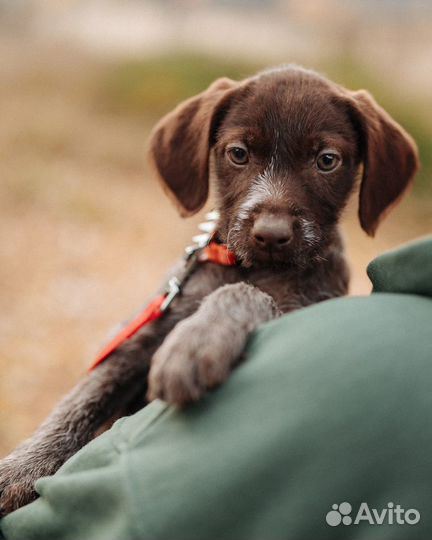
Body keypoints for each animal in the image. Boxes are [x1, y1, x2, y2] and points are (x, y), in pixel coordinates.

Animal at [0, 65, 418, 512]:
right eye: (238, 153)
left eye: (326, 161)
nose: (271, 235)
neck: (248, 267)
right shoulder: (141, 333)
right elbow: (81, 400)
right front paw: (20, 469)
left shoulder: (302, 309)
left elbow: (247, 296)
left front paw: (199, 339)